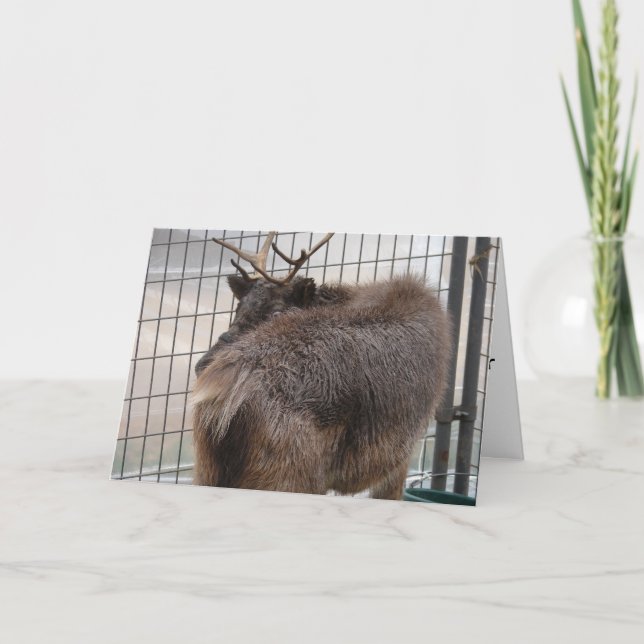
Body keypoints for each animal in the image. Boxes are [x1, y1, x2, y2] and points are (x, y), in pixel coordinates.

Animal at [191, 232, 451, 500]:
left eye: (276, 312)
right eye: (238, 308)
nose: (202, 364)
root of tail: (220, 398)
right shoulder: (402, 452)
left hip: (208, 471)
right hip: (290, 473)